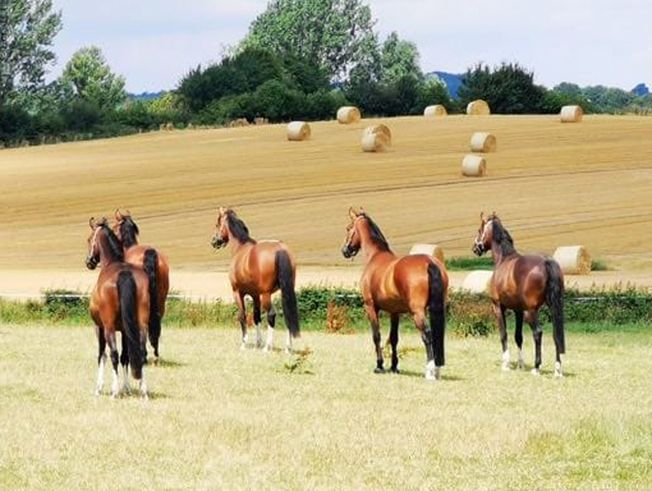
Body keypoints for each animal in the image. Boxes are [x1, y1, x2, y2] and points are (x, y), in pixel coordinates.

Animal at [84, 219, 149, 400]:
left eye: (89, 239)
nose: (89, 261)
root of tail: (124, 273)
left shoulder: (99, 327)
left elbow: (102, 355)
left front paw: (99, 388)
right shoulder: (126, 330)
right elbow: (126, 356)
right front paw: (127, 387)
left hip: (109, 328)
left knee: (112, 354)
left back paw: (114, 391)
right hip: (141, 326)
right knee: (140, 353)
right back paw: (143, 391)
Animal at [211, 208, 300, 354]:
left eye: (217, 224)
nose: (214, 241)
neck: (240, 247)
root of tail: (280, 249)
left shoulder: (238, 293)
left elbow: (243, 316)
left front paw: (244, 344)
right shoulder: (255, 295)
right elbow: (256, 316)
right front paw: (258, 342)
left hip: (266, 295)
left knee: (271, 314)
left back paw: (267, 347)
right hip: (284, 291)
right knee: (287, 312)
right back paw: (288, 348)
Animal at [342, 208, 448, 380]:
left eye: (348, 228)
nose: (344, 250)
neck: (375, 256)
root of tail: (430, 263)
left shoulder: (370, 307)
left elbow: (377, 335)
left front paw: (379, 366)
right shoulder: (394, 312)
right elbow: (394, 338)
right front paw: (394, 366)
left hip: (417, 312)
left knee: (427, 335)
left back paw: (430, 371)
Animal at [474, 211, 564, 376]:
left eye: (479, 230)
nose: (475, 248)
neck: (504, 258)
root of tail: (546, 262)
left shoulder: (498, 307)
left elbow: (504, 335)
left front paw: (506, 364)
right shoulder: (518, 311)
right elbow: (518, 337)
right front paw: (520, 365)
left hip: (531, 312)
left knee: (538, 333)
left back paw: (536, 367)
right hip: (553, 307)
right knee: (556, 334)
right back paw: (557, 369)